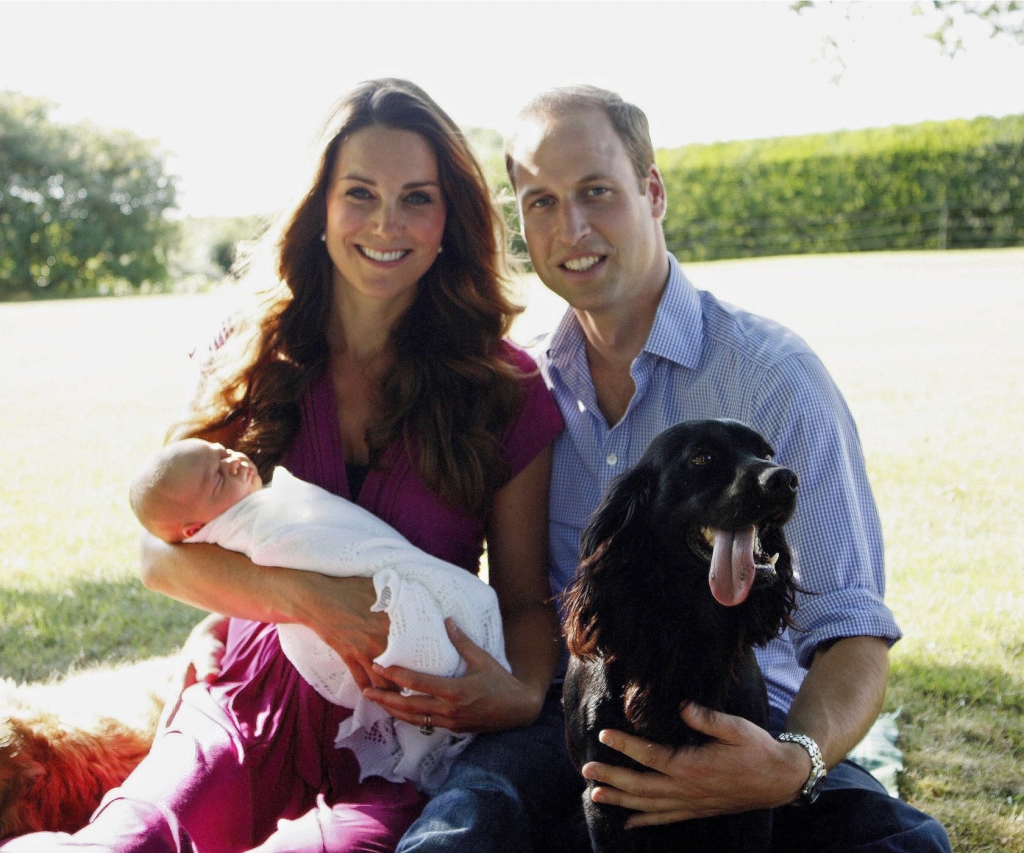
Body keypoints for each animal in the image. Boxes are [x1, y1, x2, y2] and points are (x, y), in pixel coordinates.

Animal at [561, 415, 798, 847]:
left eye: (768, 453)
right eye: (701, 458)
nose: (786, 479)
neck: (686, 629)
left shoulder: (752, 793)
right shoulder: (603, 795)